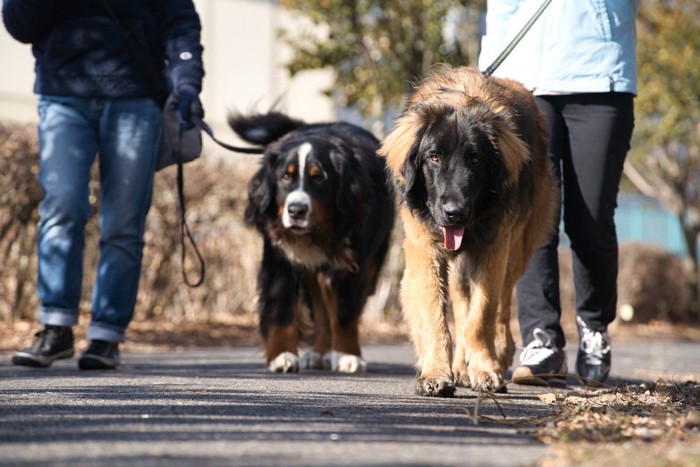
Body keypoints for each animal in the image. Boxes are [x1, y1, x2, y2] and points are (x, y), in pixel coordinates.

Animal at [378, 64, 556, 396]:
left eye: (475, 160)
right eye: (434, 157)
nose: (454, 213)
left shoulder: (493, 248)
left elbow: (482, 314)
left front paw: (485, 368)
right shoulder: (425, 250)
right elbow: (435, 314)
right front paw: (437, 372)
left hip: (517, 248)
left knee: (501, 303)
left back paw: (497, 353)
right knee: (461, 306)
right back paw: (460, 366)